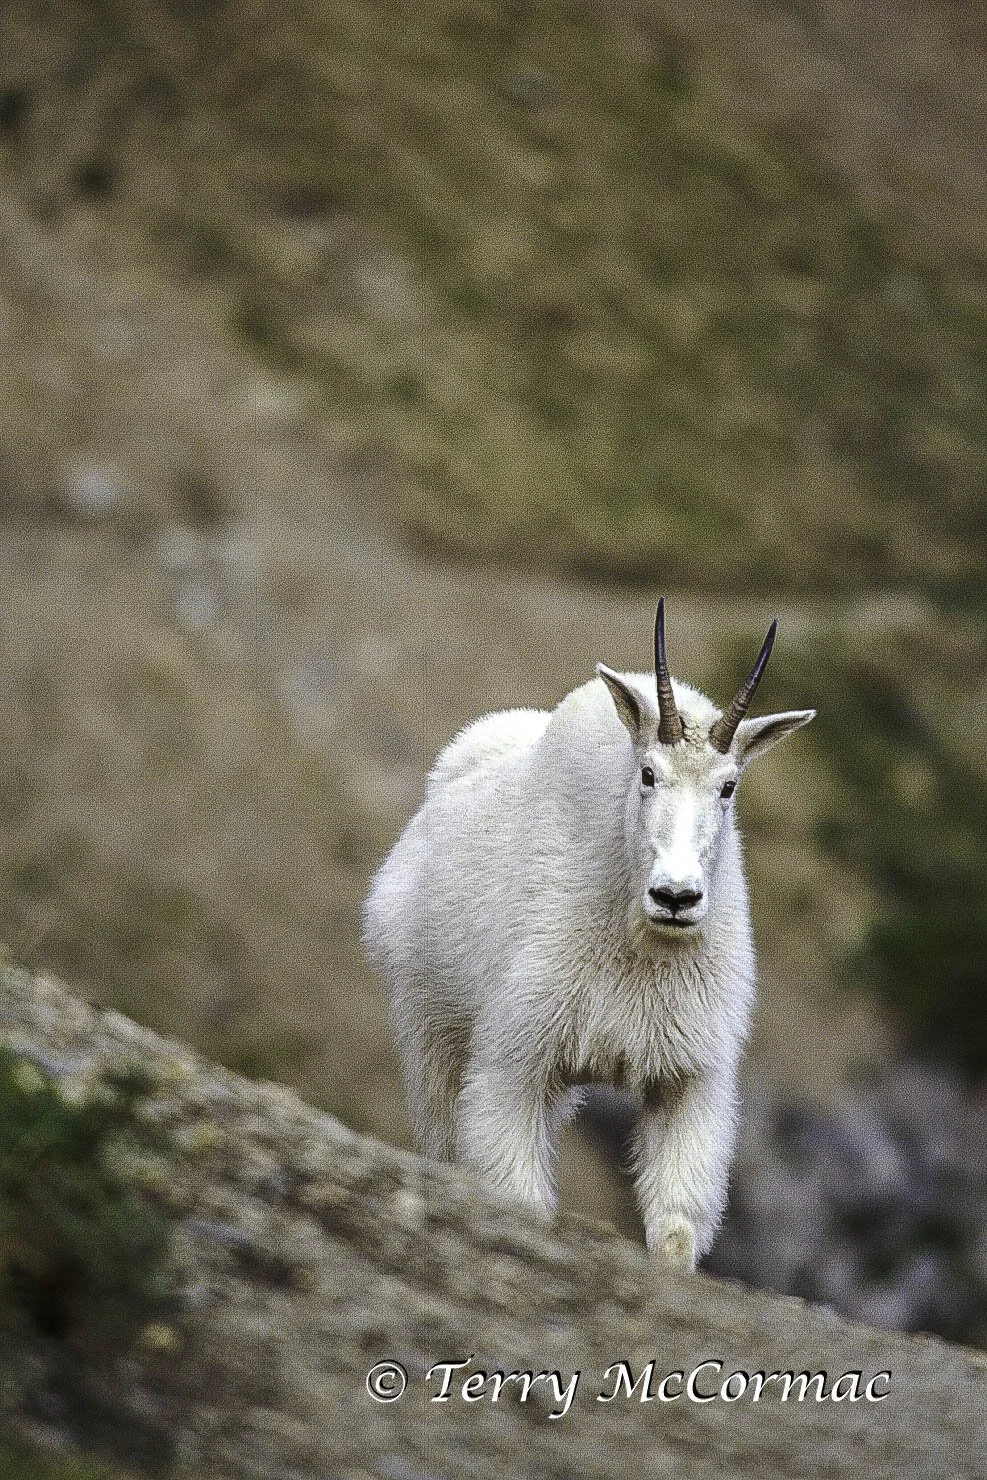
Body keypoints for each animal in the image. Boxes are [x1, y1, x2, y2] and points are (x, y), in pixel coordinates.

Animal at [363, 601, 814, 1269]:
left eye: (728, 786)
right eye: (648, 773)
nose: (675, 896)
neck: (639, 939)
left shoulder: (690, 1079)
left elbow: (675, 1229)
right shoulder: (516, 1059)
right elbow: (519, 1197)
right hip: (429, 1026)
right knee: (442, 1139)